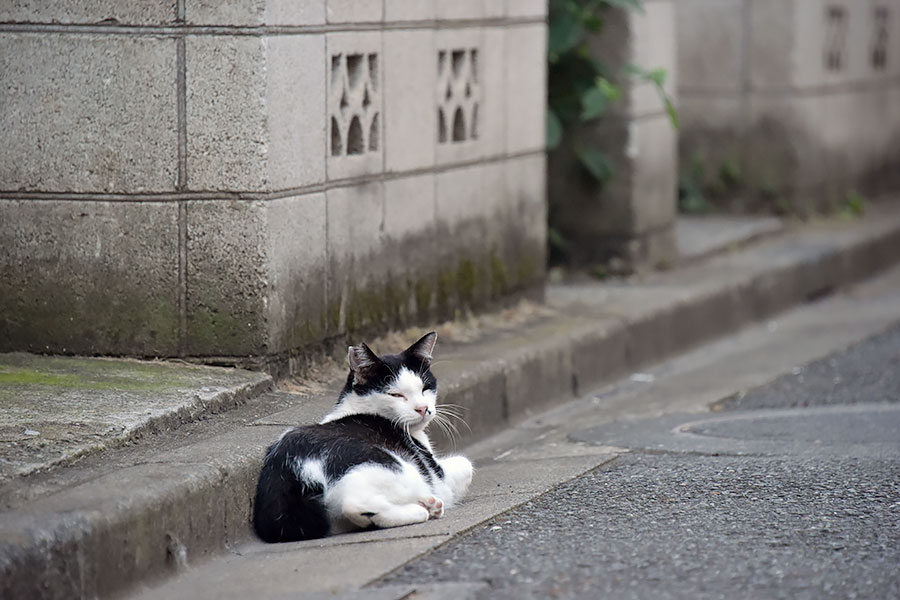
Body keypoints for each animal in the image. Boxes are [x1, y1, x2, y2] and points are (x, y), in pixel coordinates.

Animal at [253, 332, 472, 544]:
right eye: (395, 394)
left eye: (425, 388)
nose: (423, 408)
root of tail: (299, 470)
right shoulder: (438, 475)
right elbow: (465, 464)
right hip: (397, 467)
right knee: (354, 504)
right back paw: (424, 508)